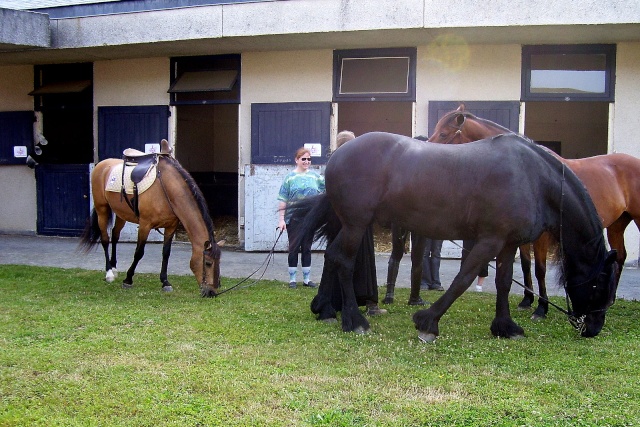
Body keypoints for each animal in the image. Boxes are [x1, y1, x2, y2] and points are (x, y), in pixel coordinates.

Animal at [80, 141, 222, 298]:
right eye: (208, 263)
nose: (212, 292)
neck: (167, 189)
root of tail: (101, 164)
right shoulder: (145, 225)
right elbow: (138, 252)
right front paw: (128, 279)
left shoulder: (171, 226)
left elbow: (166, 253)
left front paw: (165, 282)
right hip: (102, 209)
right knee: (105, 239)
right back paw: (109, 273)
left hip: (121, 214)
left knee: (115, 236)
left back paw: (114, 267)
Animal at [296, 132, 620, 342]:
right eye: (599, 285)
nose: (593, 328)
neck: (532, 178)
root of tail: (338, 154)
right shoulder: (489, 240)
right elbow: (463, 279)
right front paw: (427, 323)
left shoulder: (508, 243)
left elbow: (503, 282)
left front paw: (505, 327)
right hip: (356, 224)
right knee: (344, 261)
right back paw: (354, 321)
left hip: (349, 224)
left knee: (332, 257)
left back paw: (326, 310)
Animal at [430, 103, 636, 318]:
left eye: (443, 134)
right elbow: (526, 265)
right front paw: (527, 300)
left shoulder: (542, 236)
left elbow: (540, 269)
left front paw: (541, 307)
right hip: (617, 224)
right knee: (620, 256)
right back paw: (610, 300)